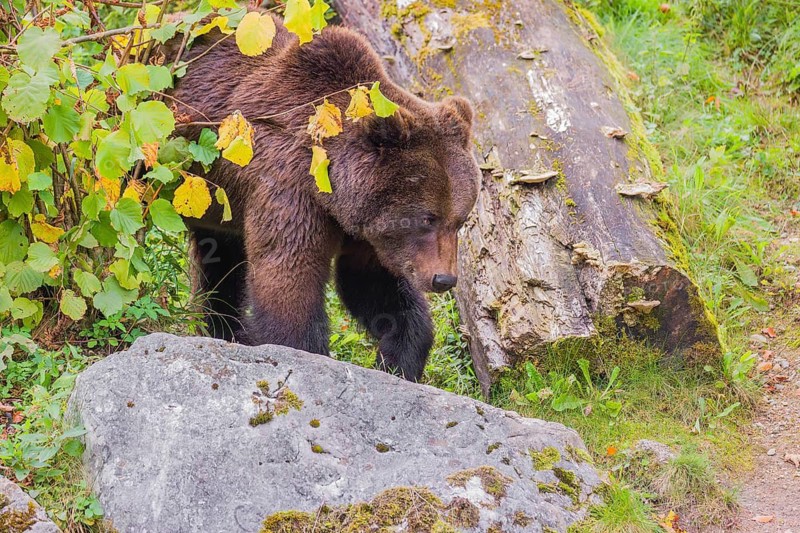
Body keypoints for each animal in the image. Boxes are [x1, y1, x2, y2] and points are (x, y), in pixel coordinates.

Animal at [162, 11, 480, 381]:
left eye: (459, 220)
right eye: (427, 218)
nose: (443, 278)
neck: (335, 191)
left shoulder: (367, 231)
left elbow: (374, 286)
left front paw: (398, 358)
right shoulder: (290, 188)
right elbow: (289, 278)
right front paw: (301, 351)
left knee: (220, 260)